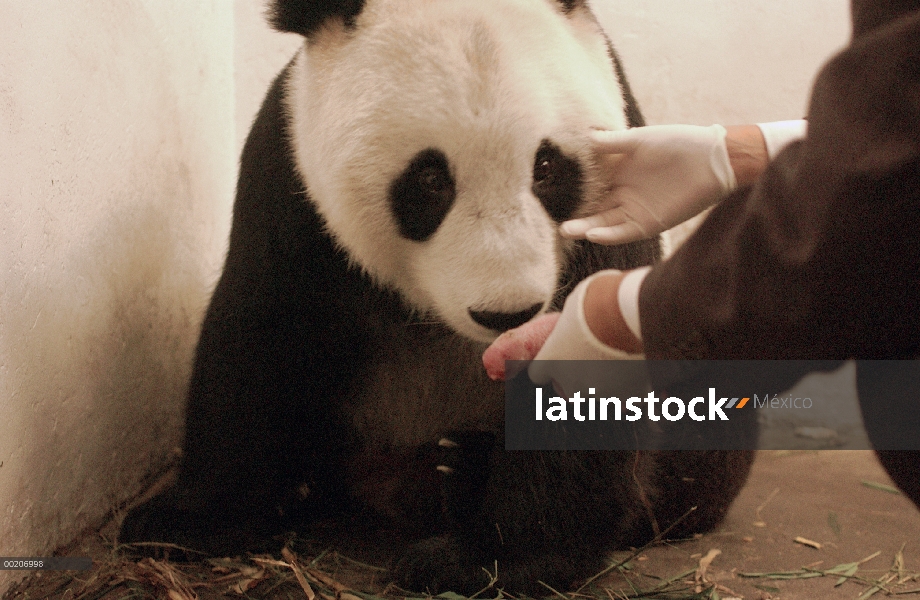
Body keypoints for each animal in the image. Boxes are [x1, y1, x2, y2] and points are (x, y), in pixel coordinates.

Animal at [120, 0, 756, 592]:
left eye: (546, 167)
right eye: (430, 180)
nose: (507, 311)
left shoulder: (610, 212)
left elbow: (587, 371)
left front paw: (492, 560)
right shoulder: (292, 178)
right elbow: (261, 337)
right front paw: (187, 523)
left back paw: (463, 471)